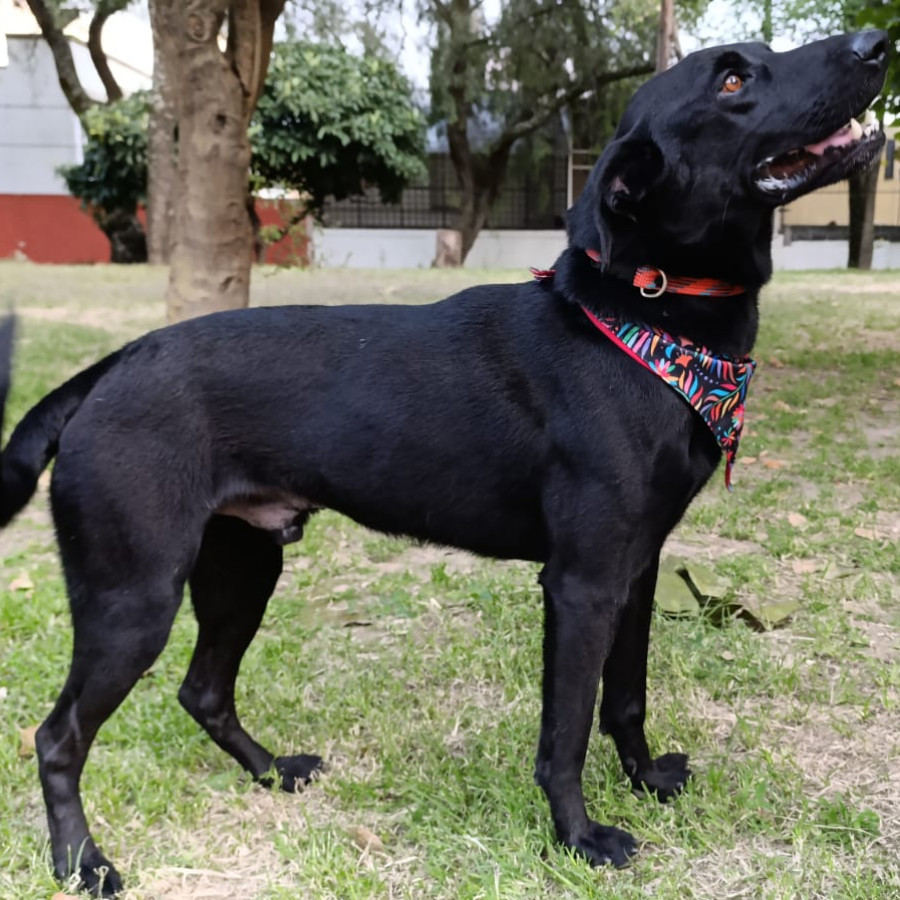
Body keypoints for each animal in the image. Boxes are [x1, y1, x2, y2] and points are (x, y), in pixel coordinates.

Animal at [0, 28, 884, 892]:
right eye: (732, 81)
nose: (875, 44)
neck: (643, 322)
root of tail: (106, 371)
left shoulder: (638, 568)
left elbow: (625, 701)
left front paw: (644, 782)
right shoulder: (581, 584)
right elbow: (565, 733)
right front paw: (579, 837)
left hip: (242, 566)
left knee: (203, 691)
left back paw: (271, 772)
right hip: (134, 600)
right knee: (58, 736)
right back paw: (83, 863)